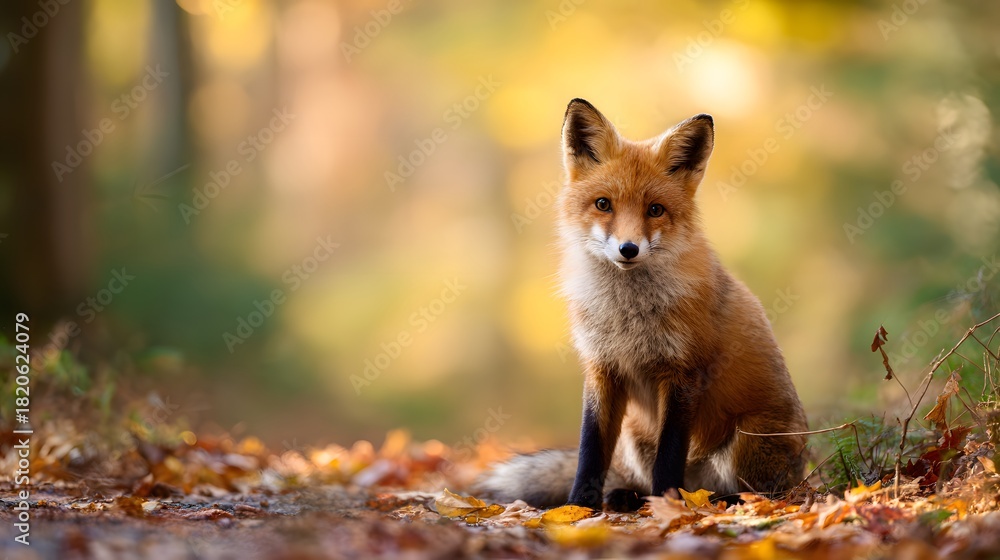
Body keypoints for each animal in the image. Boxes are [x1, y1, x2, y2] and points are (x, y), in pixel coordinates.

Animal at [477, 99, 809, 511]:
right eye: (603, 204)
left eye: (655, 210)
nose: (628, 249)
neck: (626, 316)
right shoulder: (602, 368)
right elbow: (589, 450)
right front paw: (578, 506)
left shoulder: (683, 373)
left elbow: (670, 452)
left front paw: (669, 504)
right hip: (635, 436)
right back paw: (629, 497)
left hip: (749, 436)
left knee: (758, 493)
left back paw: (712, 501)